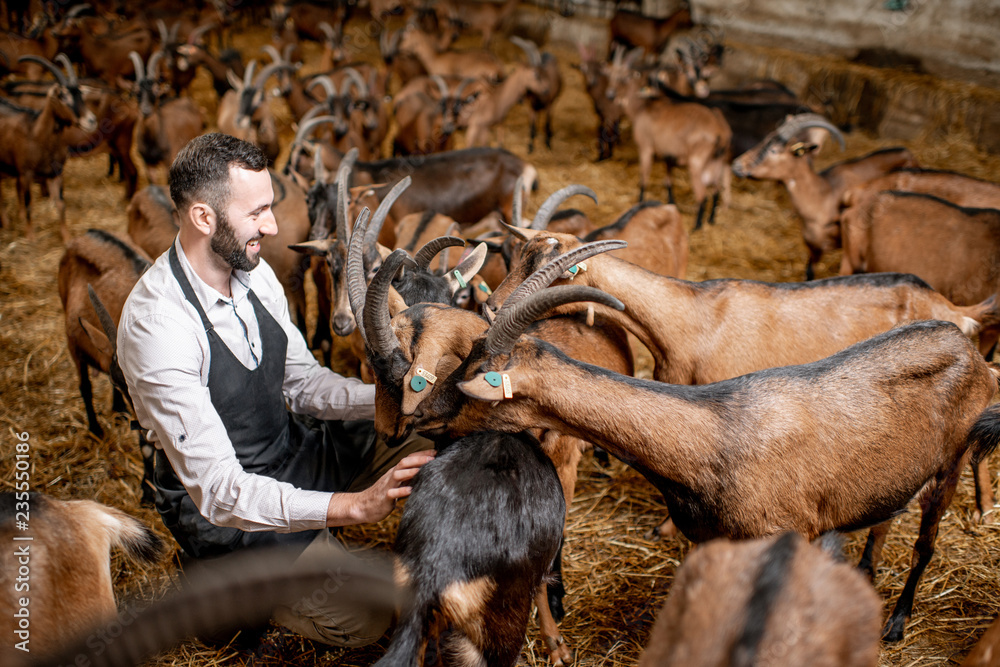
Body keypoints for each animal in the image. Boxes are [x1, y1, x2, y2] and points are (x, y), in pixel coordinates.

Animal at [732, 113, 916, 280]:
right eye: (765, 139)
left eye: (774, 150)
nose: (737, 165)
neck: (821, 196)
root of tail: (907, 152)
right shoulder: (814, 248)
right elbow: (809, 273)